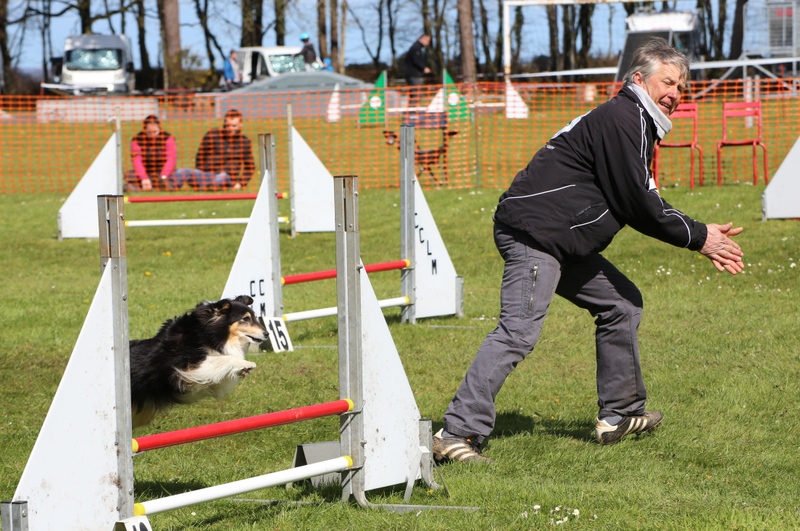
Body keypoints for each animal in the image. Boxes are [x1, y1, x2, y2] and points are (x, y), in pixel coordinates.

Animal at [129, 295, 267, 428]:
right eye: (245, 318)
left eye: (256, 317)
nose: (266, 334)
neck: (207, 334)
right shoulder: (190, 367)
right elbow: (225, 358)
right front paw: (246, 363)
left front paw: (243, 370)